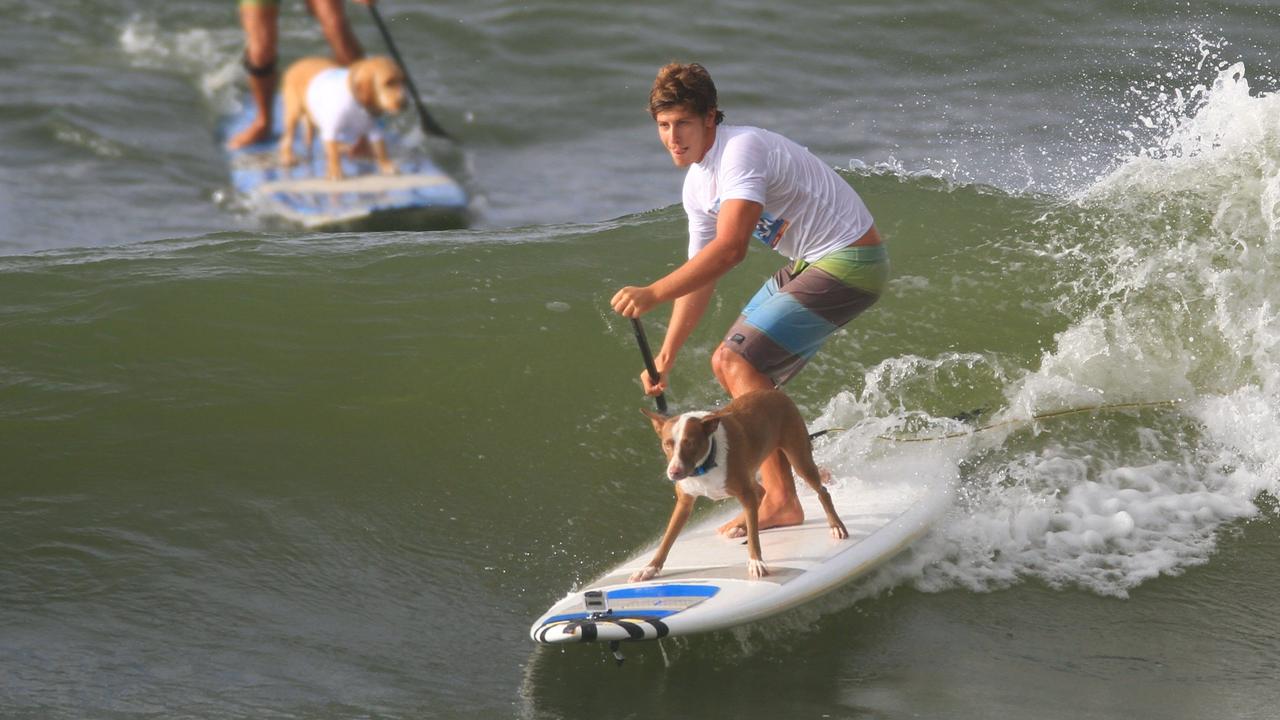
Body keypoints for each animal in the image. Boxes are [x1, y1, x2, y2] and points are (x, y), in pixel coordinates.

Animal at [276, 55, 404, 180]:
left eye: (402, 81)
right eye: (388, 83)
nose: (405, 103)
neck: (356, 103)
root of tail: (296, 65)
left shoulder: (374, 130)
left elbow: (381, 148)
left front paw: (386, 165)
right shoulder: (331, 130)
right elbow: (333, 153)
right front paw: (335, 171)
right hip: (293, 114)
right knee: (287, 139)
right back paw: (287, 157)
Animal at [632, 389, 849, 579]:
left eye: (690, 443)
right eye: (667, 444)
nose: (674, 472)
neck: (706, 464)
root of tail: (775, 392)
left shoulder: (745, 492)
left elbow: (754, 536)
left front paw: (755, 562)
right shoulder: (685, 502)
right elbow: (668, 539)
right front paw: (650, 568)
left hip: (799, 458)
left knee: (821, 492)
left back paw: (836, 526)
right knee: (761, 492)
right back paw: (739, 527)